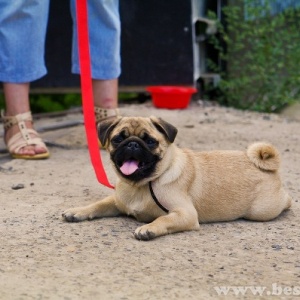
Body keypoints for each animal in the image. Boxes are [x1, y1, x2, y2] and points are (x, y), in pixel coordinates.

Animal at [62, 116, 292, 240]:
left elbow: (163, 218)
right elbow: (98, 204)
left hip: (262, 211)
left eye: (150, 141)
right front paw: (77, 211)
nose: (133, 144)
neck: (140, 185)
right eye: (119, 138)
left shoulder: (185, 213)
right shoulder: (117, 201)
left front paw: (148, 228)